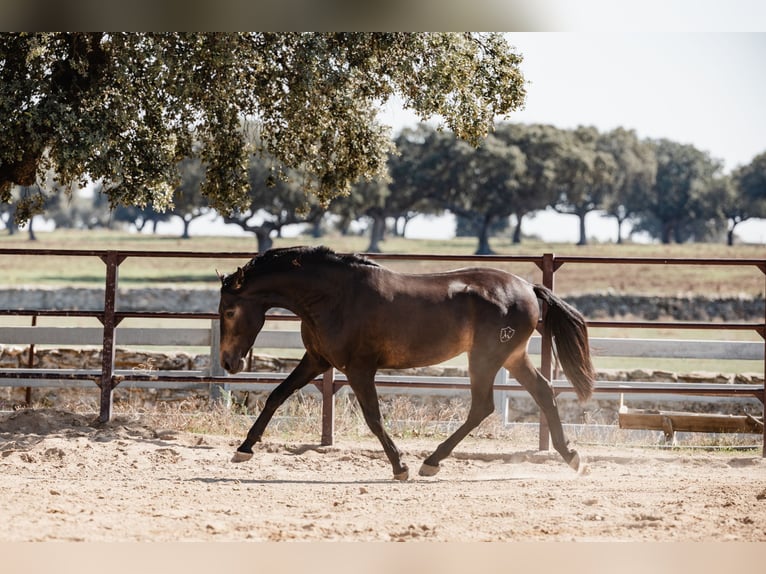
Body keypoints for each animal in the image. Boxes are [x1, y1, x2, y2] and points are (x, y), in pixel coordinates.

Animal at [219, 246, 596, 482]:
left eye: (229, 311)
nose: (228, 362)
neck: (335, 297)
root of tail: (529, 288)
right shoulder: (317, 360)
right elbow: (276, 396)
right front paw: (243, 449)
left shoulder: (358, 369)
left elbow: (373, 417)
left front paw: (400, 467)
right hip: (513, 356)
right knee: (542, 392)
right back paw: (572, 457)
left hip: (486, 358)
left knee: (483, 406)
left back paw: (430, 462)